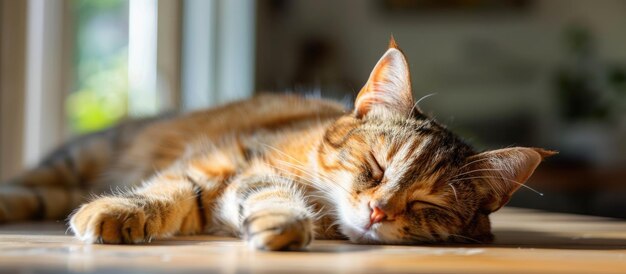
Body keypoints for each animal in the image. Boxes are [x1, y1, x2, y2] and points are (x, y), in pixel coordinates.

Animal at [0, 38, 552, 250]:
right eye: (376, 165)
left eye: (428, 204)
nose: (379, 210)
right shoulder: (219, 163)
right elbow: (168, 189)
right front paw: (120, 210)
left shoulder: (246, 182)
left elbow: (266, 199)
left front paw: (281, 225)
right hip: (77, 160)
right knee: (30, 184)